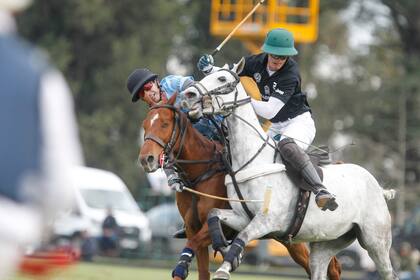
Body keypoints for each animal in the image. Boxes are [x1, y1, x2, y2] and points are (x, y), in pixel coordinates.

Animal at [138, 94, 342, 280]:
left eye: (164, 124)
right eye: (145, 125)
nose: (146, 159)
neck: (202, 172)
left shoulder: (220, 226)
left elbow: (192, 245)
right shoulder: (192, 227)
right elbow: (201, 269)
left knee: (331, 268)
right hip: (289, 236)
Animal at [182, 61, 398, 280]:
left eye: (222, 79)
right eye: (207, 75)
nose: (189, 94)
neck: (251, 159)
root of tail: (379, 188)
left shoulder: (267, 220)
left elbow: (242, 236)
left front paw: (224, 269)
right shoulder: (242, 217)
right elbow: (214, 214)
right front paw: (222, 247)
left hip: (376, 241)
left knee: (388, 272)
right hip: (327, 242)